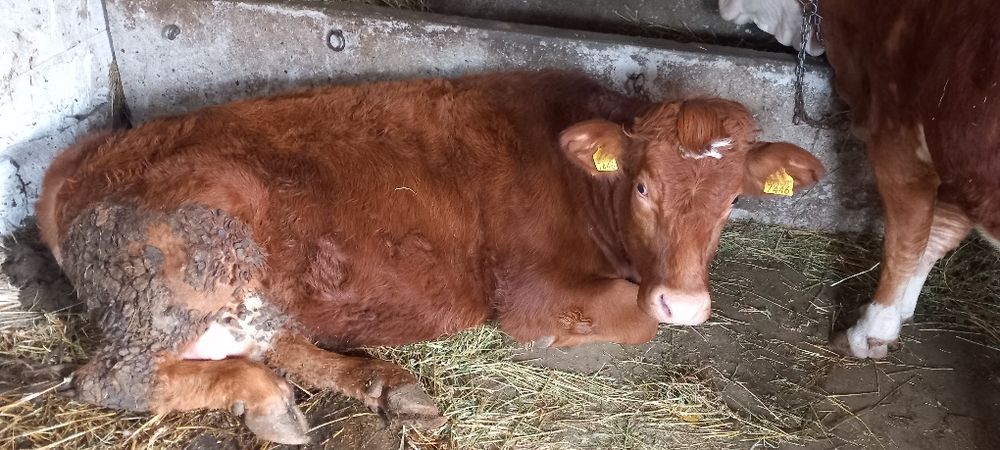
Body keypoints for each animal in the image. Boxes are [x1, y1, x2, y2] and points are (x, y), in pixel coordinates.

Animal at [36, 70, 824, 443]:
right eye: (642, 186)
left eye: (732, 201)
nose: (686, 301)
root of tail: (80, 158)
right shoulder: (534, 297)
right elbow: (637, 319)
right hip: (190, 269)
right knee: (116, 377)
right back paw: (270, 403)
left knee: (268, 342)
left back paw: (382, 385)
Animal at [719, 0, 1000, 359]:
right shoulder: (957, 167)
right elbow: (937, 236)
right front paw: (900, 313)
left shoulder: (898, 139)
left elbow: (905, 243)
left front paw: (872, 330)